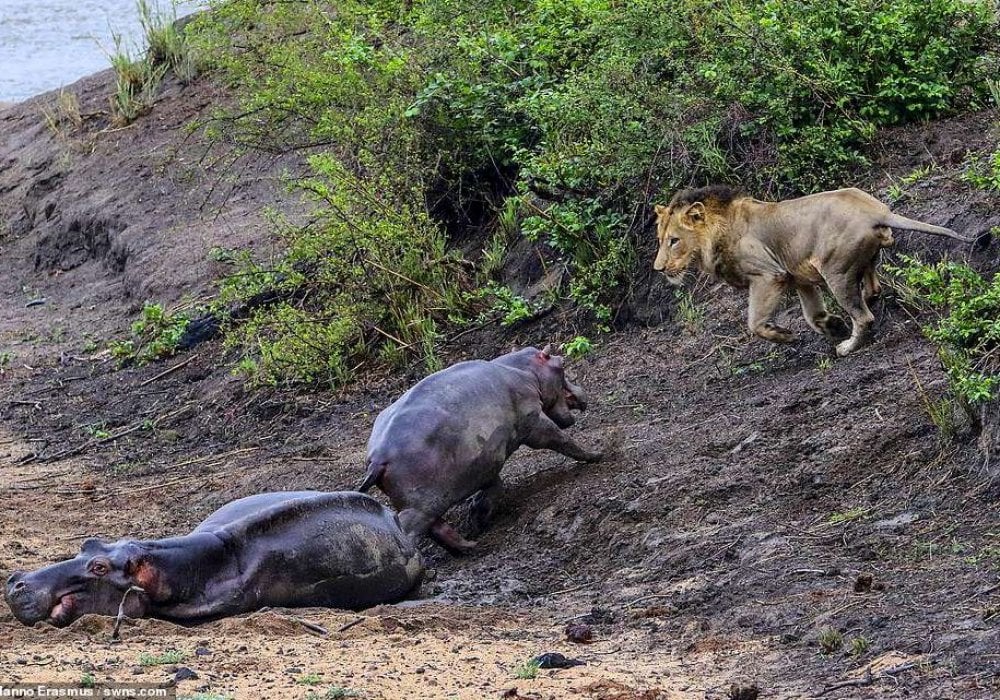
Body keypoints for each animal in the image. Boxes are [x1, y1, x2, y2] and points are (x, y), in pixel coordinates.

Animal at [360, 344, 600, 552]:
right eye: (561, 363)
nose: (582, 392)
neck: (524, 370)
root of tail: (377, 459)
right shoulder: (533, 420)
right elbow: (561, 439)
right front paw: (596, 454)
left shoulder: (485, 463)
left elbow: (495, 487)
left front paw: (477, 516)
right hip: (418, 506)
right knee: (409, 530)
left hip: (425, 503)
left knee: (437, 528)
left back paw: (469, 546)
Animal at [652, 185, 972, 356]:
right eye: (660, 239)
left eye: (674, 240)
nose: (659, 268)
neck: (719, 231)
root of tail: (878, 212)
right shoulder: (798, 277)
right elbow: (813, 315)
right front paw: (832, 325)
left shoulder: (770, 274)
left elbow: (755, 323)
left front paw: (784, 335)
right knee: (873, 287)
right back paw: (864, 305)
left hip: (835, 270)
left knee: (864, 317)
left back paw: (847, 346)